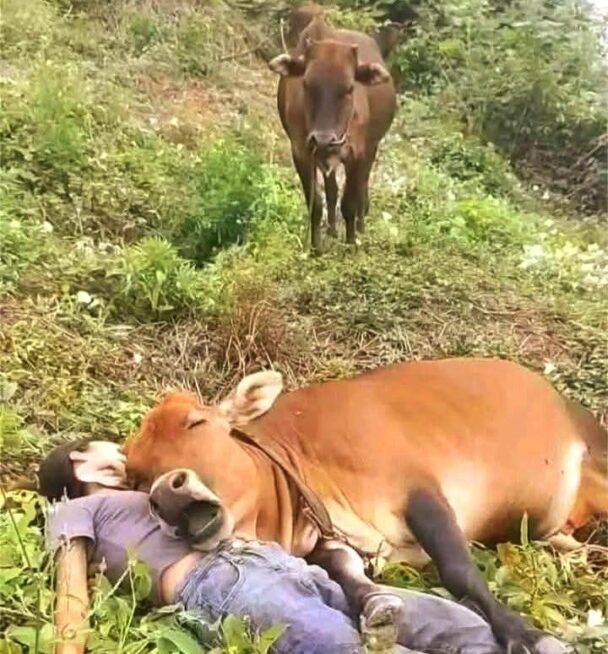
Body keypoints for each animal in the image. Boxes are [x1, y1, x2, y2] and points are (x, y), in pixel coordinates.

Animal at [125, 358, 607, 654]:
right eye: (136, 477)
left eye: (195, 422)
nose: (168, 494)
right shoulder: (332, 536)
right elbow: (345, 570)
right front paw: (375, 604)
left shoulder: (418, 488)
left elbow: (459, 570)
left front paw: (525, 635)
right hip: (556, 533)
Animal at [269, 6, 397, 253]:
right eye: (306, 84)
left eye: (349, 88)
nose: (324, 139)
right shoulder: (302, 152)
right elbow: (316, 204)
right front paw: (316, 248)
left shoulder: (357, 153)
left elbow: (349, 203)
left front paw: (351, 243)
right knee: (332, 189)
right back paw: (331, 229)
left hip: (371, 147)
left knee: (362, 187)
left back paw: (360, 227)